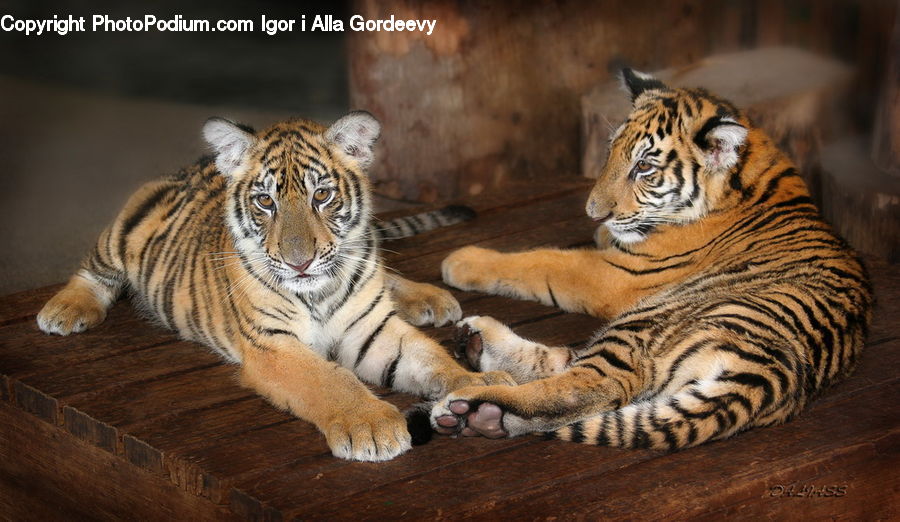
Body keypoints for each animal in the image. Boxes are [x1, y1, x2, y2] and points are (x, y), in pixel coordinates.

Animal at [36, 111, 513, 462]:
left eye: (322, 195)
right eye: (265, 201)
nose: (299, 262)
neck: (321, 288)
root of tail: (189, 167)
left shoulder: (372, 329)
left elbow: (431, 360)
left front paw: (480, 386)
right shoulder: (273, 344)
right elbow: (329, 380)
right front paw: (372, 427)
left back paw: (428, 298)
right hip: (124, 227)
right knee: (94, 272)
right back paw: (64, 311)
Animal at [426, 69, 873, 449]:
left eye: (644, 166)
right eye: (612, 152)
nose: (594, 213)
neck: (748, 173)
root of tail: (768, 378)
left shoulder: (619, 274)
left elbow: (543, 261)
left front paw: (463, 260)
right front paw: (603, 232)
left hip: (647, 320)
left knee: (593, 385)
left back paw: (475, 407)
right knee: (570, 364)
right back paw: (476, 343)